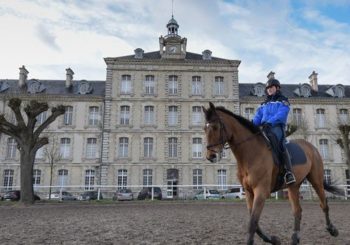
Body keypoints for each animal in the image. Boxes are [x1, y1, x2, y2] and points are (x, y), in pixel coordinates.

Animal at [201, 102, 344, 244]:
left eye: (215, 127)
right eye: (204, 128)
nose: (211, 156)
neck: (251, 154)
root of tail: (311, 147)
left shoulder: (261, 191)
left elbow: (253, 222)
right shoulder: (249, 192)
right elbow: (255, 223)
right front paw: (273, 239)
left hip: (316, 180)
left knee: (323, 204)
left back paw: (332, 229)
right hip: (293, 187)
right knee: (297, 210)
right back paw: (295, 238)